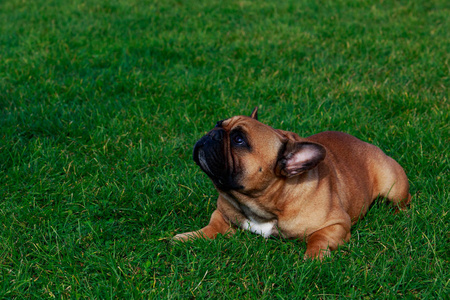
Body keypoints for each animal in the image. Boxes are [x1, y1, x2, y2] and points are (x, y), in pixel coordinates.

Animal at [173, 108, 412, 260]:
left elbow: (319, 238)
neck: (261, 203)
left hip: (393, 186)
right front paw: (187, 237)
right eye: (218, 123)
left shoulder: (337, 223)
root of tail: (365, 143)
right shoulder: (222, 214)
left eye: (239, 140)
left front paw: (314, 258)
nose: (213, 133)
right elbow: (210, 227)